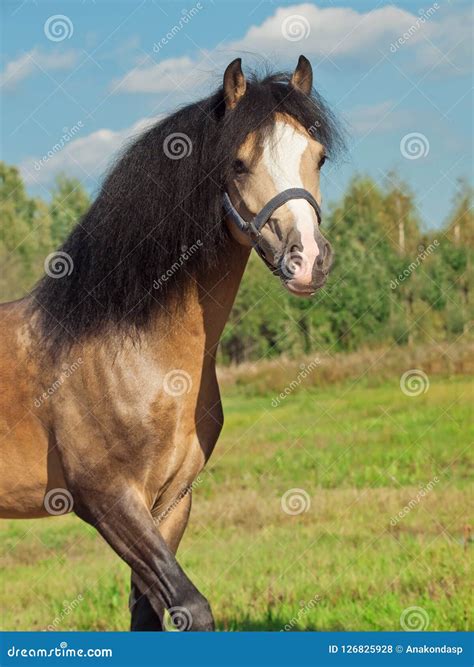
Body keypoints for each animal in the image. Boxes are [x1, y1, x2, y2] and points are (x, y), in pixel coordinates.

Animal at [0, 56, 340, 632]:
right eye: (238, 163)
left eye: (317, 155)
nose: (308, 260)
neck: (128, 348)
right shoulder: (109, 499)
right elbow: (191, 607)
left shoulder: (171, 500)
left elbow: (149, 611)